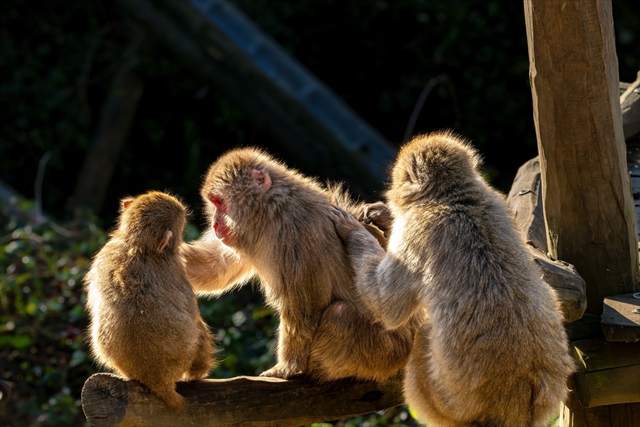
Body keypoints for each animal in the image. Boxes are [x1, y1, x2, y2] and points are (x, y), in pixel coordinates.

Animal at [84, 191, 218, 412]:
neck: (137, 246)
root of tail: (158, 382)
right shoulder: (176, 269)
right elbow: (194, 320)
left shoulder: (105, 252)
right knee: (198, 335)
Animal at [181, 149, 420, 382]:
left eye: (220, 202)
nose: (215, 225)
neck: (272, 210)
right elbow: (215, 267)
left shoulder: (296, 233)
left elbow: (305, 308)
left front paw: (286, 368)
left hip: (386, 352)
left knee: (340, 314)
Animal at [332, 131, 572, 427]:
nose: (391, 194)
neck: (452, 198)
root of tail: (516, 406)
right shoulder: (495, 200)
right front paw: (383, 215)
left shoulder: (418, 228)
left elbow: (386, 307)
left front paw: (352, 228)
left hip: (446, 403)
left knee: (423, 336)